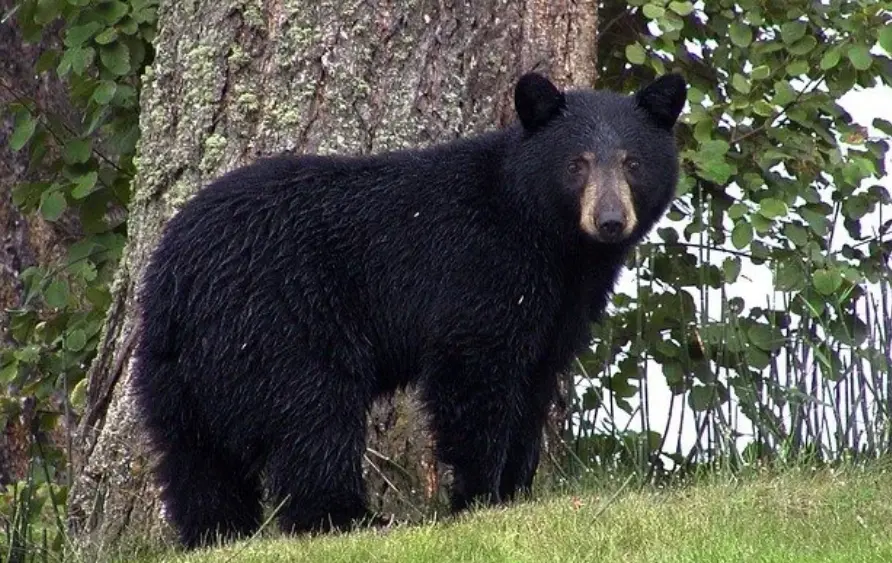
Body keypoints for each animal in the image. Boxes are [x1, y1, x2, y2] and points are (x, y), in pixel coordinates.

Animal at [131, 70, 687, 549]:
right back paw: (348, 519)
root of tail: (178, 274)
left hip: (174, 366)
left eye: (632, 162)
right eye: (577, 163)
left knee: (194, 456)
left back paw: (217, 533)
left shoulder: (560, 307)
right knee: (313, 417)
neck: (550, 240)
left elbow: (535, 382)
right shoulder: (480, 270)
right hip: (280, 322)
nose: (610, 220)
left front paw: (516, 492)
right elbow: (473, 375)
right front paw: (478, 498)